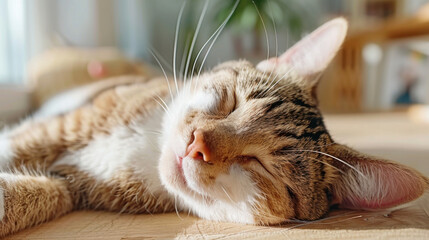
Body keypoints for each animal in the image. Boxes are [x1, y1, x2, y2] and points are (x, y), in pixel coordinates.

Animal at [0, 18, 428, 236]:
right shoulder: (60, 128)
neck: (145, 150)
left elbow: (42, 194)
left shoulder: (73, 186)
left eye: (263, 166)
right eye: (232, 102)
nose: (196, 144)